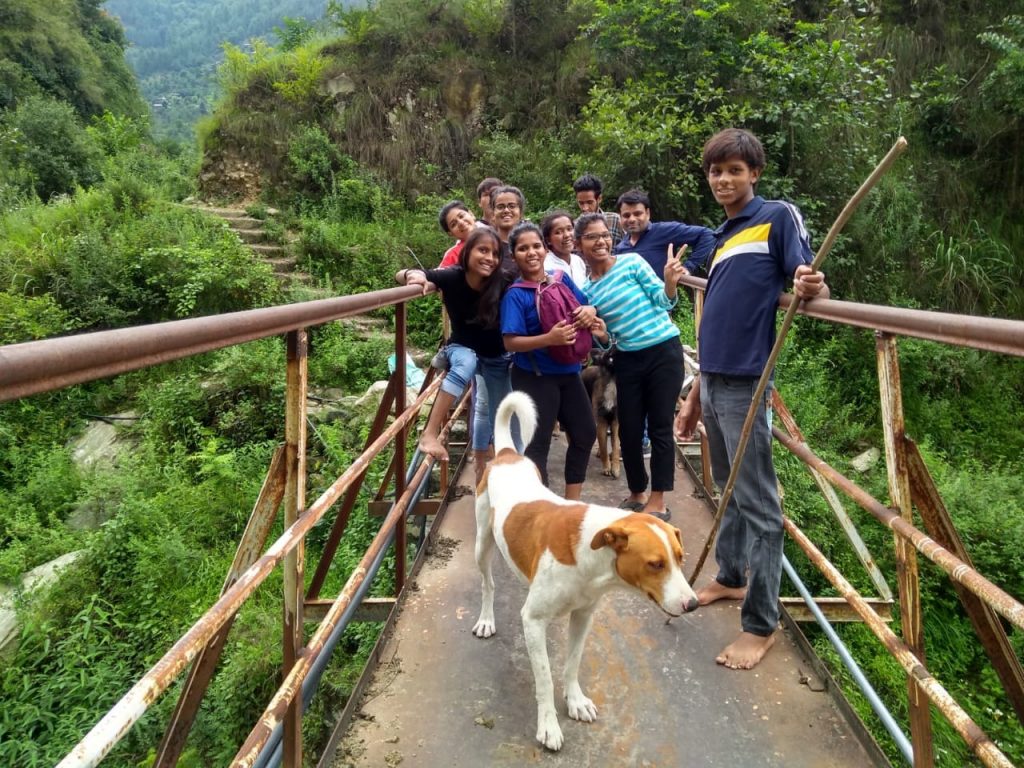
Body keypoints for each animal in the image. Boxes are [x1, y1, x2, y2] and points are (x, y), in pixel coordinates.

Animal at [473, 393, 700, 753]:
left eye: (680, 557)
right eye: (655, 564)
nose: (693, 604)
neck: (592, 559)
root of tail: (508, 455)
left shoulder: (583, 615)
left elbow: (572, 662)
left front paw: (575, 701)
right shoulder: (533, 621)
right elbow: (544, 677)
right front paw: (548, 725)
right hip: (482, 544)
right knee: (488, 584)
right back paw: (486, 619)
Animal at [581, 350, 618, 481]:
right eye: (607, 352)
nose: (615, 346)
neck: (612, 378)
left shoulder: (615, 422)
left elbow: (616, 446)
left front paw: (615, 468)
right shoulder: (601, 421)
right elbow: (603, 446)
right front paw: (607, 467)